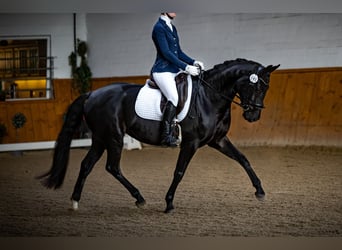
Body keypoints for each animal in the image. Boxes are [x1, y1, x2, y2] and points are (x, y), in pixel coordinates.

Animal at [39, 58, 280, 213]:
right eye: (257, 87)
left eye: (266, 89)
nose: (253, 116)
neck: (209, 97)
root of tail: (91, 93)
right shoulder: (191, 143)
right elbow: (179, 172)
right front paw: (169, 203)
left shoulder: (217, 140)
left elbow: (243, 159)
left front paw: (260, 191)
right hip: (114, 137)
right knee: (112, 167)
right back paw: (140, 199)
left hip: (100, 138)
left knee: (87, 165)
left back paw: (75, 202)